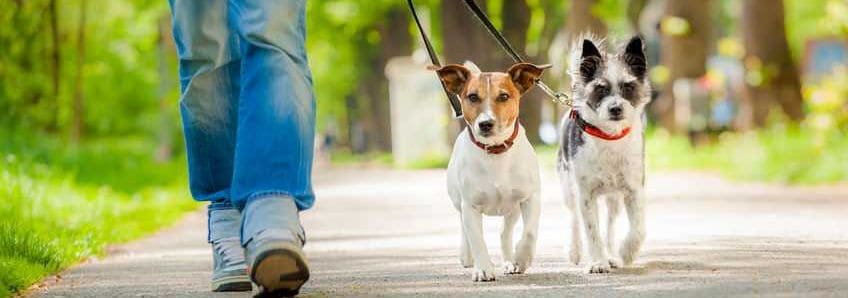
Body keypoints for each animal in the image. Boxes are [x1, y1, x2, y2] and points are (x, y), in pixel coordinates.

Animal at [434, 61, 548, 282]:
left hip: (512, 209)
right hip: (459, 202)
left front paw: (522, 258)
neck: (496, 151)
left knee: (505, 232)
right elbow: (477, 240)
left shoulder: (531, 198)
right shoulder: (470, 206)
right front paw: (483, 268)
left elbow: (530, 233)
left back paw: (509, 261)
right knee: (464, 228)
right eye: (472, 97)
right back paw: (467, 255)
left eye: (503, 96)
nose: (486, 123)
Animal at [556, 34, 648, 272]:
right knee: (574, 219)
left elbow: (638, 228)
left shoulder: (634, 190)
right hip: (568, 187)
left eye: (628, 87)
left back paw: (612, 255)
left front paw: (626, 252)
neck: (609, 137)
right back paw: (575, 250)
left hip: (614, 199)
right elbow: (591, 231)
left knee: (610, 225)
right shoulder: (586, 194)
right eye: (601, 89)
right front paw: (598, 262)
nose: (615, 109)